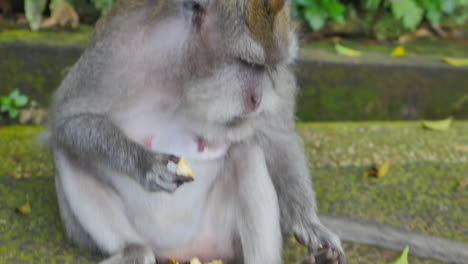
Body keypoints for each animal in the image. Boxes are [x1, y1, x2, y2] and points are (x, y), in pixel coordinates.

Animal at [47, 0, 346, 264]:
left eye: (269, 67)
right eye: (248, 63)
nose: (257, 99)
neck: (184, 71)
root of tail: (177, 252)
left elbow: (276, 136)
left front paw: (307, 223)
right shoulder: (117, 45)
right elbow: (67, 120)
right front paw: (146, 164)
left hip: (220, 239)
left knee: (246, 153)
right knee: (66, 152)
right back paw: (134, 252)